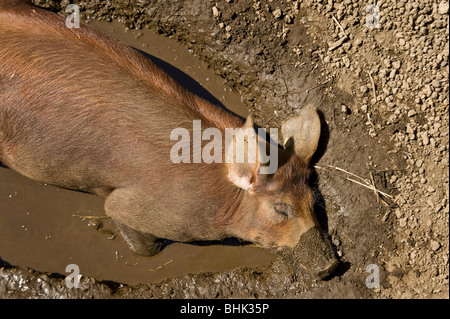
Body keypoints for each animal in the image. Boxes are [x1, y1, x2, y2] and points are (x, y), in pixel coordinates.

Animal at [0, 0, 338, 278]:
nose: (332, 266)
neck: (225, 196)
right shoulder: (139, 207)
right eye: (281, 209)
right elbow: (136, 234)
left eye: (314, 202)